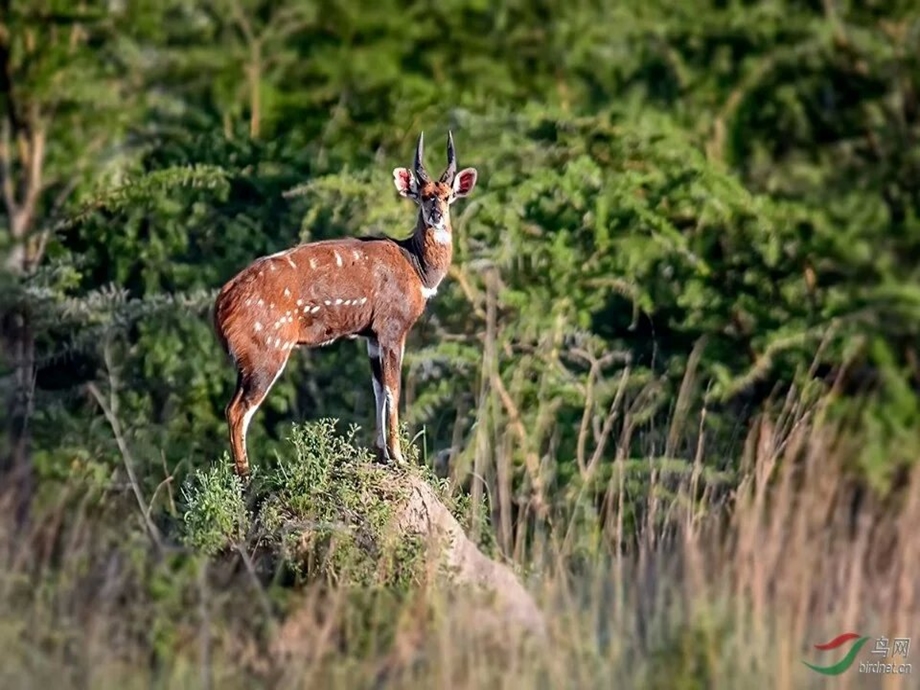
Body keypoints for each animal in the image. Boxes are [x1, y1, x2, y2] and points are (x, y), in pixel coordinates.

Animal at [212, 132, 478, 476]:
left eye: (448, 196)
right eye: (423, 195)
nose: (436, 215)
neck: (417, 267)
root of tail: (221, 303)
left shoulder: (371, 336)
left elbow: (377, 388)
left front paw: (382, 453)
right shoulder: (392, 328)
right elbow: (393, 388)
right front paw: (399, 457)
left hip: (245, 360)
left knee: (231, 407)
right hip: (266, 352)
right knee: (238, 411)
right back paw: (246, 476)